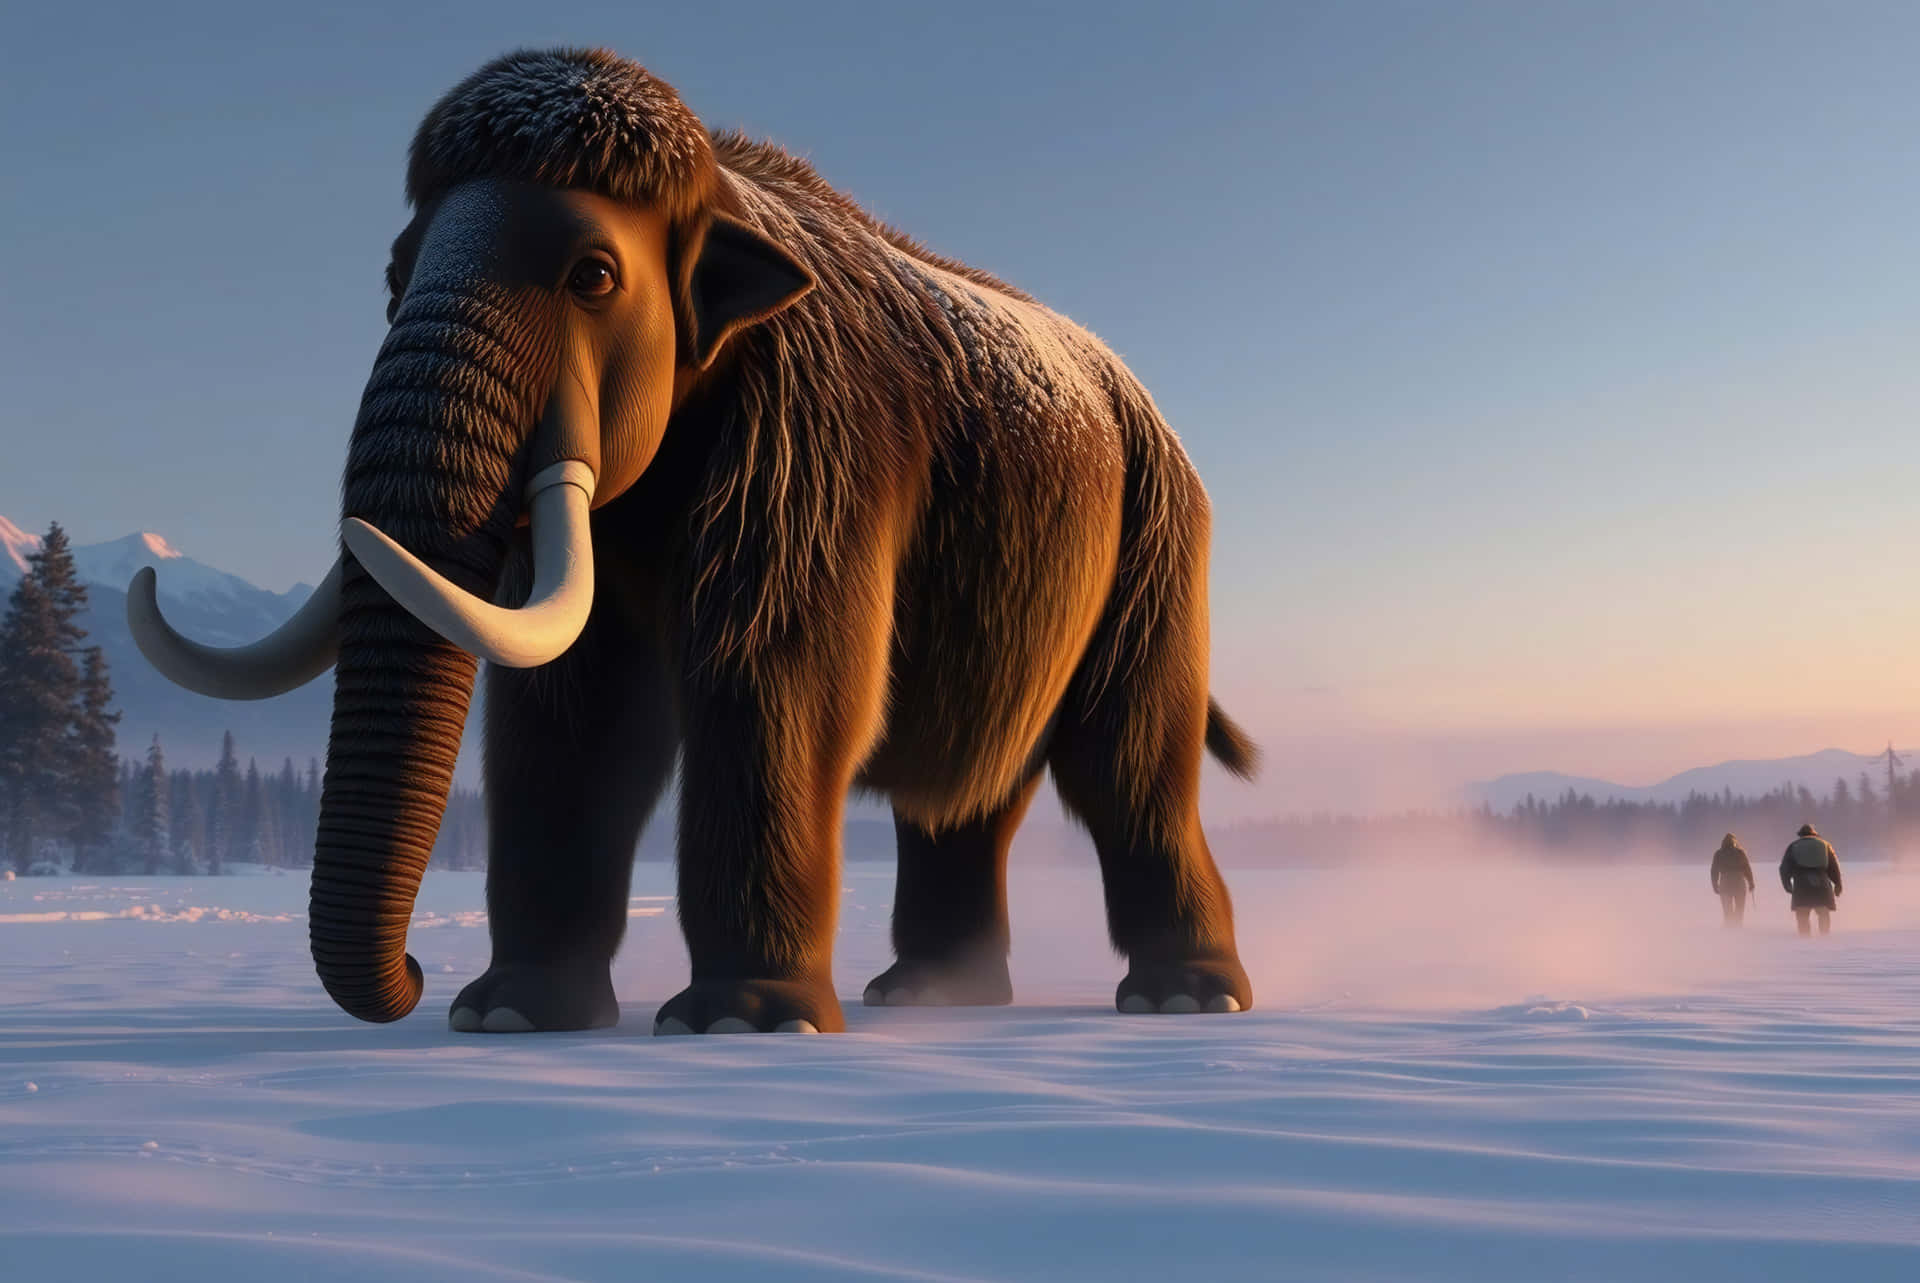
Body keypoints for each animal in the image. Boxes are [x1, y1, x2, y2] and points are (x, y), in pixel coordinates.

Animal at [128, 47, 1258, 1035]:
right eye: (395, 272)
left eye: (592, 275)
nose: (411, 971)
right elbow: (575, 713)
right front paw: (510, 1015)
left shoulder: (810, 447)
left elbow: (776, 679)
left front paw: (741, 1022)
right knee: (968, 799)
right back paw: (933, 994)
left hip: (1158, 551)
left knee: (1129, 765)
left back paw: (1184, 999)